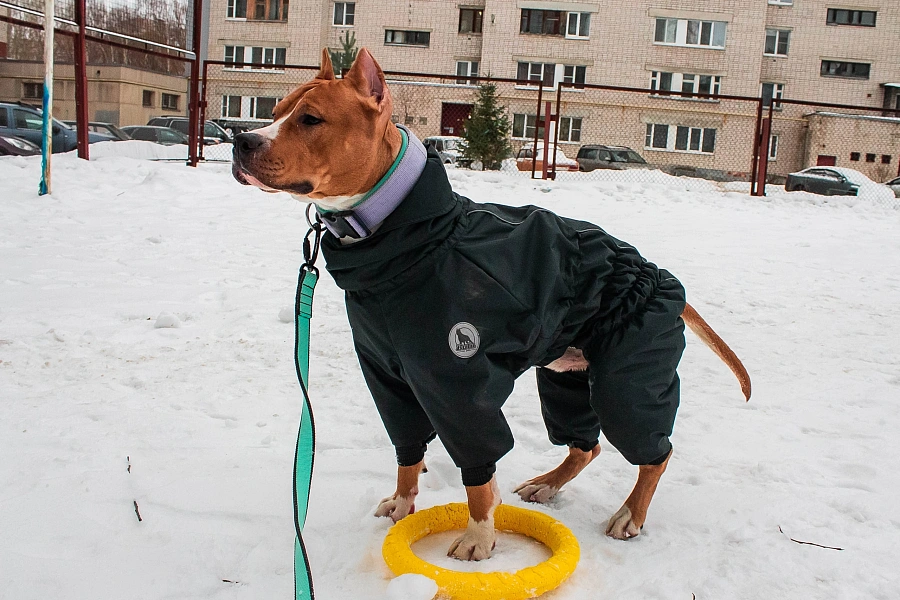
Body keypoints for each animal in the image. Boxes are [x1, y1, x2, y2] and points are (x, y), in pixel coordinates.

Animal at [229, 49, 748, 560]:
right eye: (275, 112)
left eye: (311, 119)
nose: (241, 139)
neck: (405, 236)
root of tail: (656, 275)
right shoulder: (388, 377)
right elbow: (407, 446)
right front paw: (402, 501)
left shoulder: (458, 385)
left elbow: (478, 468)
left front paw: (479, 535)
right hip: (565, 375)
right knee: (586, 445)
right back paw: (548, 485)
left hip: (628, 382)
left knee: (655, 452)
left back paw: (629, 515)